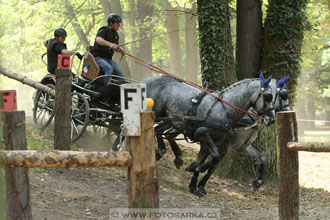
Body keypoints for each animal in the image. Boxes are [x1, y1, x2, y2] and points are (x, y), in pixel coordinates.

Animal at [143, 75, 274, 197]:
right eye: (268, 96)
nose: (271, 119)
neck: (226, 110)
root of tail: (147, 80)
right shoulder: (210, 139)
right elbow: (213, 161)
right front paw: (197, 176)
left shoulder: (234, 146)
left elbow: (261, 157)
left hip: (173, 120)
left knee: (160, 132)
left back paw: (167, 154)